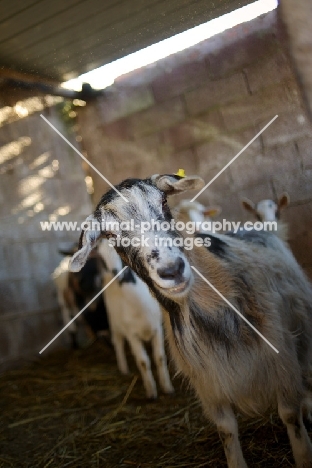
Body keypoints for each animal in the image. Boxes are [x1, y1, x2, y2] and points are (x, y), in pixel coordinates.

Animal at [97, 241, 173, 398]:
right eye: (100, 258)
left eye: (119, 251)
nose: (116, 273)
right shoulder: (132, 334)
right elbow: (143, 361)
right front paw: (151, 391)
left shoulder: (157, 329)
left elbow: (160, 357)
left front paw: (167, 387)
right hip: (114, 321)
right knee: (118, 341)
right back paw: (124, 369)